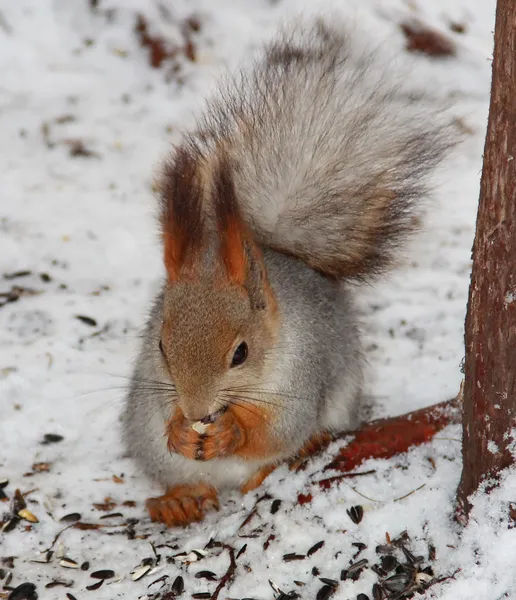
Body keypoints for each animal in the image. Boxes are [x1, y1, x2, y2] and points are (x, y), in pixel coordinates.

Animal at [121, 18, 452, 524]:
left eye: (241, 353)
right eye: (160, 344)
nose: (195, 409)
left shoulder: (301, 375)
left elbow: (276, 429)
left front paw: (233, 433)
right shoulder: (155, 385)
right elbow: (165, 411)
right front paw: (179, 427)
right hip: (143, 433)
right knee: (177, 472)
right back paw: (179, 498)